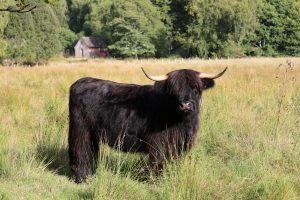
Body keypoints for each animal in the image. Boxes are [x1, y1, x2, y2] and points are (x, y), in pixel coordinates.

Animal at [68, 67, 227, 183]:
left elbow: (174, 161)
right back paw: (82, 177)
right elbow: (159, 162)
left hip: (93, 133)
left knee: (91, 151)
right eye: (175, 91)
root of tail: (80, 81)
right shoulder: (158, 143)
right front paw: (158, 181)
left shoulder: (179, 144)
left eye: (196, 89)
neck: (182, 121)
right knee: (80, 149)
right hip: (81, 128)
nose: (185, 105)